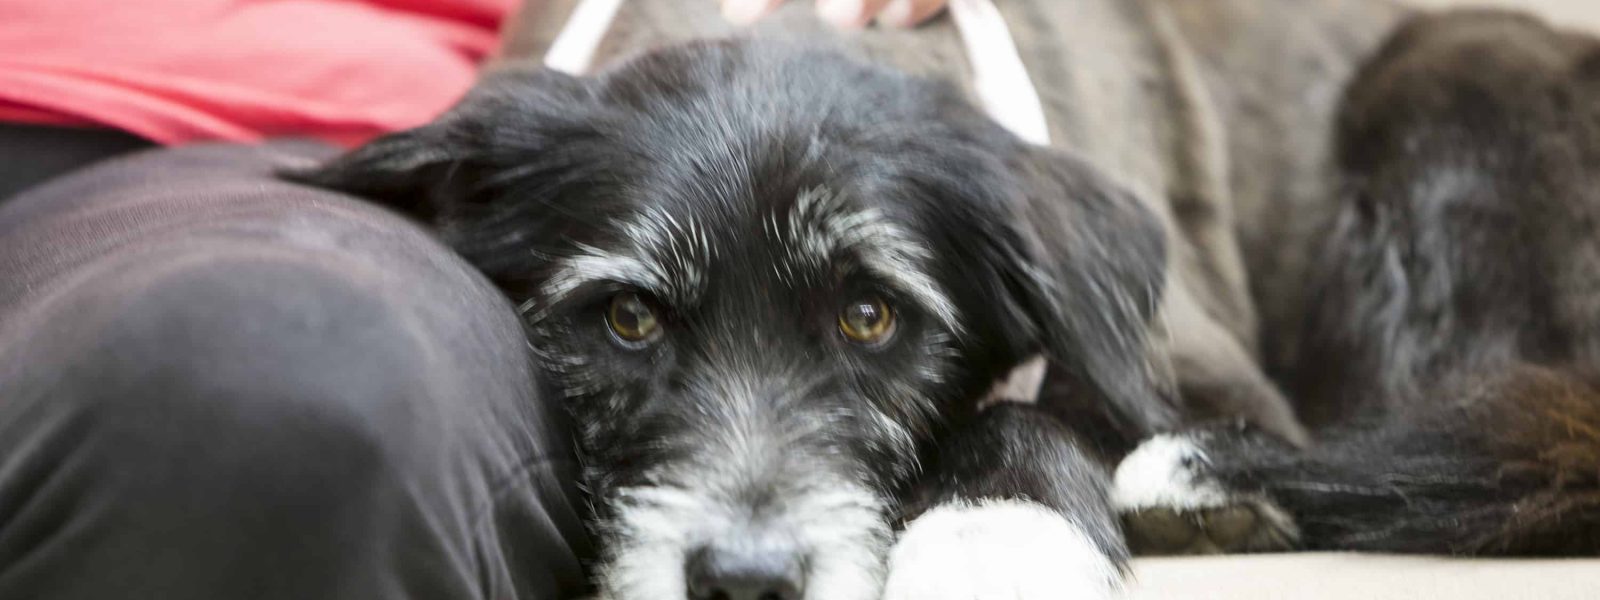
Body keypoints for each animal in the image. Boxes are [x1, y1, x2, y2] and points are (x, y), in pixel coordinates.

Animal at [294, 1, 1593, 600]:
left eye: (870, 318)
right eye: (627, 318)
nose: (747, 583)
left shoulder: (1198, 358)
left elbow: (1036, 405)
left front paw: (993, 537)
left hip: (1449, 77)